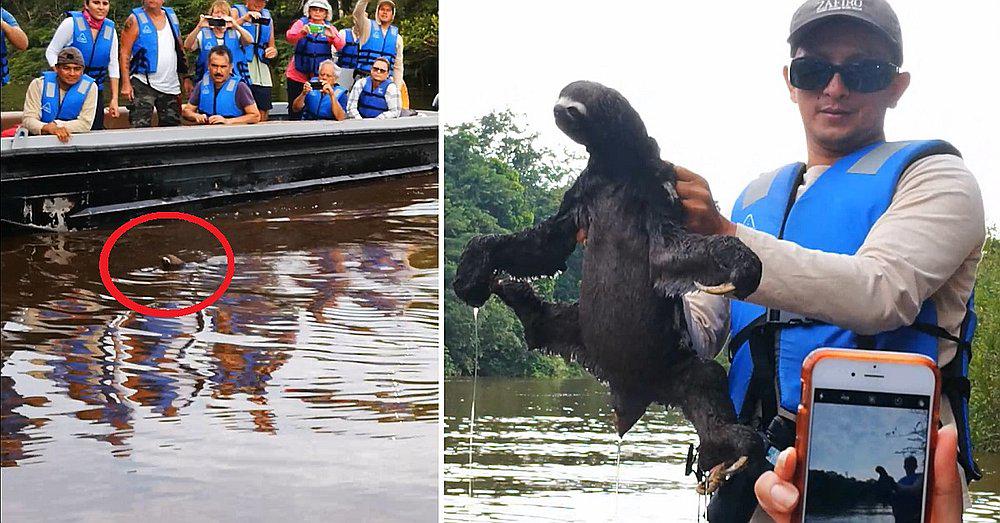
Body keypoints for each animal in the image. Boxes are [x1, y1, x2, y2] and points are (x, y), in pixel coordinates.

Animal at [453, 80, 765, 492]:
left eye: (570, 107)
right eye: (561, 102)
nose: (556, 110)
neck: (616, 170)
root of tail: (635, 394)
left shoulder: (656, 190)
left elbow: (673, 254)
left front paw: (743, 265)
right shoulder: (582, 192)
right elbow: (546, 246)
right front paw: (472, 270)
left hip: (677, 364)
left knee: (707, 380)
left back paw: (733, 447)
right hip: (580, 333)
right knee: (547, 321)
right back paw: (512, 292)